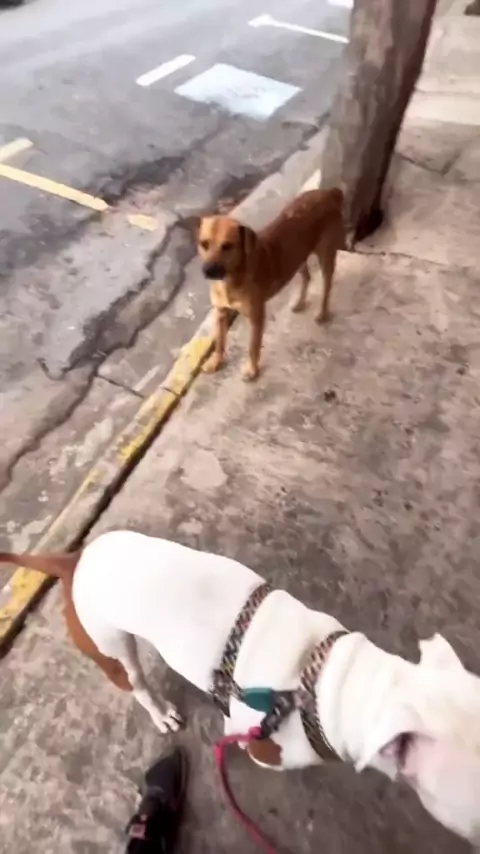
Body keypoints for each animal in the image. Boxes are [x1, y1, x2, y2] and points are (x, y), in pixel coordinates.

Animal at [2, 531, 480, 845]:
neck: (323, 684)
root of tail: (73, 560)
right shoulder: (258, 739)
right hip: (112, 647)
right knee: (136, 681)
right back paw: (160, 711)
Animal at [198, 188, 344, 381]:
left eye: (227, 246)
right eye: (204, 244)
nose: (207, 270)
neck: (230, 280)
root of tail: (329, 192)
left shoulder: (256, 318)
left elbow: (253, 347)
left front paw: (252, 370)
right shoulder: (221, 313)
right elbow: (220, 342)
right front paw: (216, 362)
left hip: (325, 253)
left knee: (327, 284)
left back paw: (322, 312)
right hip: (296, 258)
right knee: (307, 277)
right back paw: (299, 302)